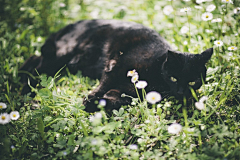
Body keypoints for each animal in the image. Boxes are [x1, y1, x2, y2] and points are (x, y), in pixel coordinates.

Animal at [19, 19, 214, 112]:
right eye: (174, 78)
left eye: (193, 82)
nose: (181, 92)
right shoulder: (115, 64)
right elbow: (104, 84)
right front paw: (90, 98)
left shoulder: (130, 93)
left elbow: (116, 99)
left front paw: (96, 103)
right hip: (61, 55)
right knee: (36, 62)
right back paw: (23, 90)